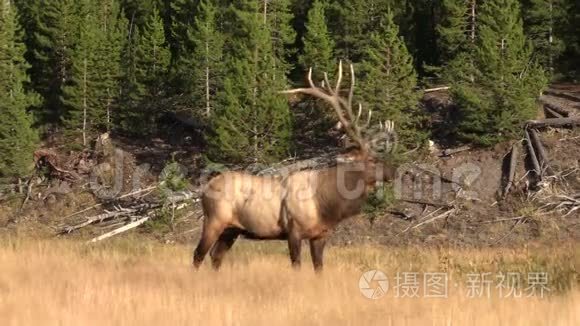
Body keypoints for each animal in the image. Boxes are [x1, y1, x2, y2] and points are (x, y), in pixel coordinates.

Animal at [195, 61, 398, 272]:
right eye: (373, 160)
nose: (394, 171)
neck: (326, 205)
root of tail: (205, 188)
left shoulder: (320, 234)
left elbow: (319, 267)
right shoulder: (294, 230)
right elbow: (297, 265)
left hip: (232, 229)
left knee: (216, 256)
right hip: (213, 219)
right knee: (198, 254)